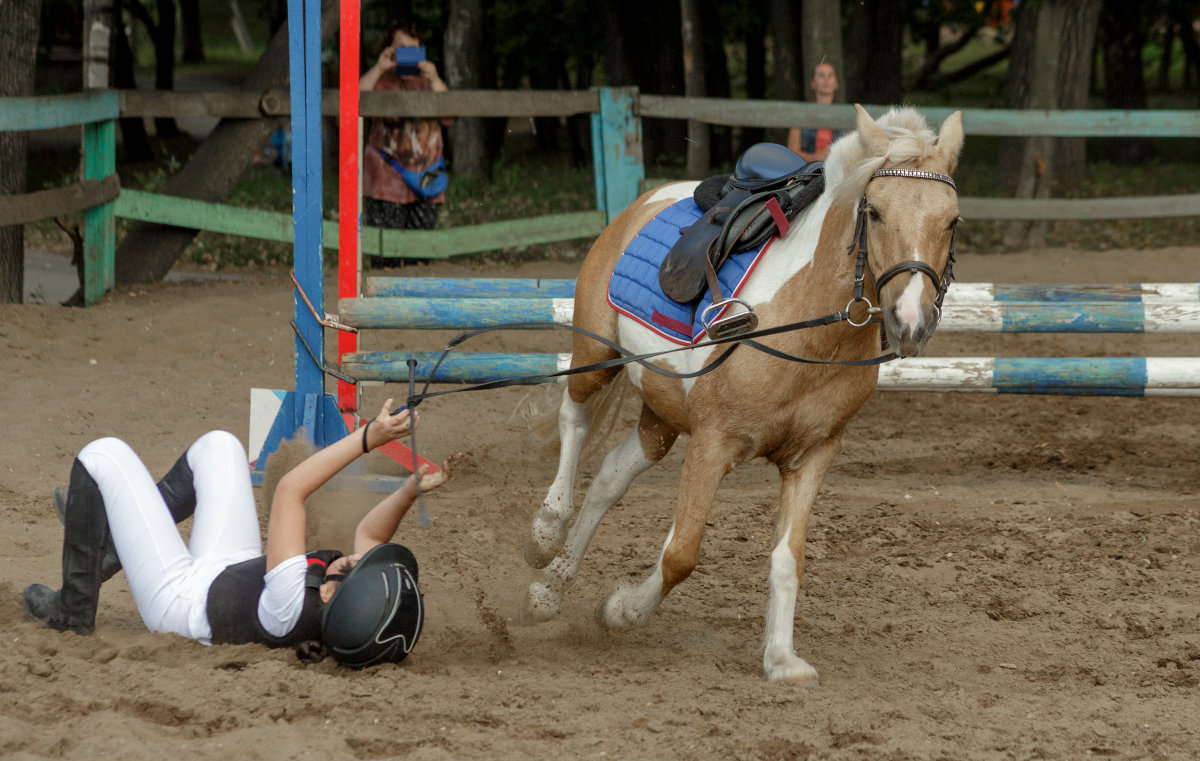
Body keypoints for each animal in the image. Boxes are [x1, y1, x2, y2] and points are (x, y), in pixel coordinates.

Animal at [520, 103, 960, 676]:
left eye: (952, 221)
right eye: (877, 212)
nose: (911, 321)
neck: (810, 330)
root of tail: (644, 201)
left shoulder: (812, 454)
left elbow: (788, 559)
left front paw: (781, 658)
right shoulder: (713, 443)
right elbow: (681, 553)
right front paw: (624, 610)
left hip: (662, 413)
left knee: (611, 477)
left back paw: (548, 591)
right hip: (596, 356)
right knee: (573, 420)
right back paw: (546, 529)